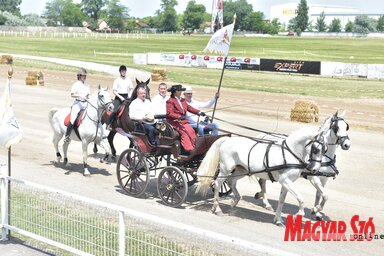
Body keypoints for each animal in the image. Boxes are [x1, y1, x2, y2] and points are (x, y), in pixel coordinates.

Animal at [198, 127, 328, 225]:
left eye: (325, 150)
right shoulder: (285, 180)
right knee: (217, 183)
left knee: (231, 182)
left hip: (241, 170)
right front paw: (298, 215)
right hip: (225, 169)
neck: (290, 153)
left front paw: (278, 220)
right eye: (316, 149)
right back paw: (217, 208)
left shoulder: (286, 182)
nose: (315, 169)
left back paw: (234, 201)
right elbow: (300, 198)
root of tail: (226, 140)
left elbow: (281, 200)